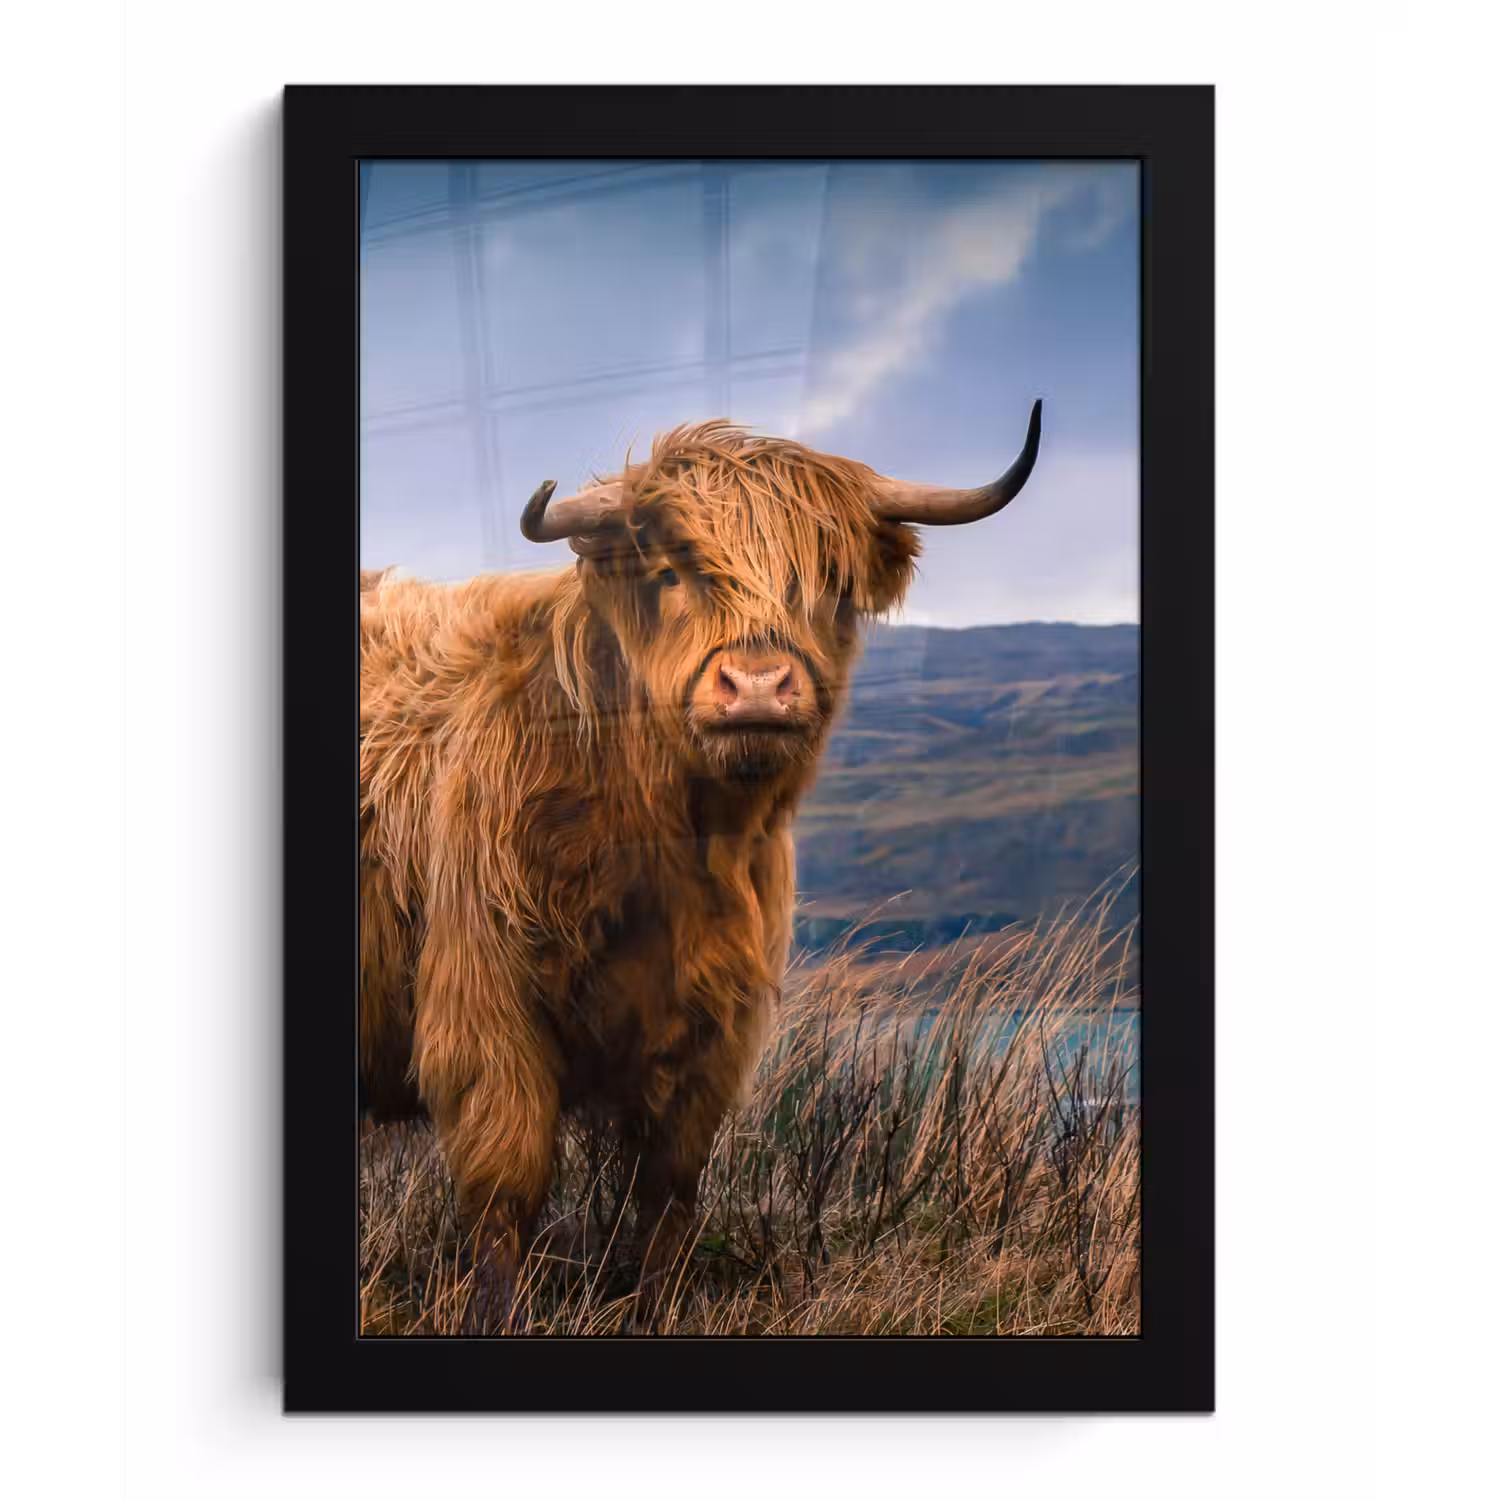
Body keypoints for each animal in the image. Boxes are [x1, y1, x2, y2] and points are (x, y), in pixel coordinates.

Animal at [358, 401, 1043, 1329]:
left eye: (830, 583)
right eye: (670, 570)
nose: (756, 686)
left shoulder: (712, 1025)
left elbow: (669, 1189)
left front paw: (658, 1307)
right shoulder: (485, 1000)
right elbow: (507, 1181)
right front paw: (499, 1314)